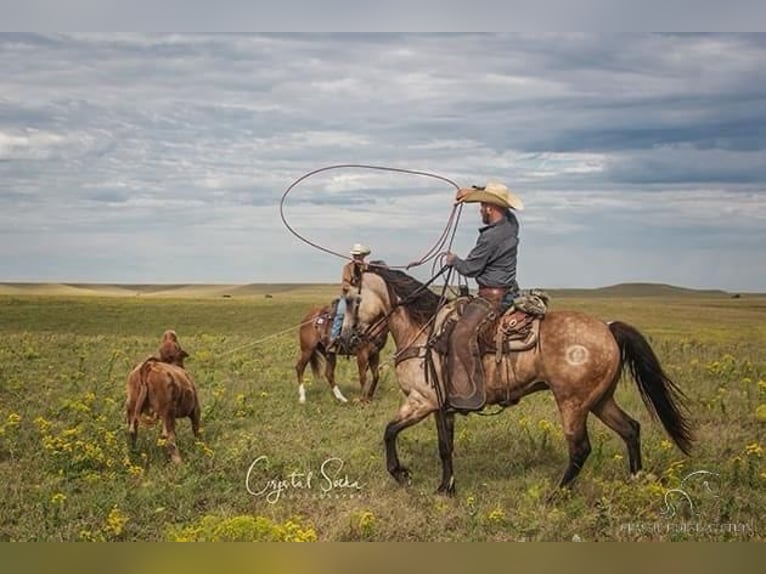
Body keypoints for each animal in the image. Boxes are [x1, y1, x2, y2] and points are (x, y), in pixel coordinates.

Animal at [344, 268, 700, 498]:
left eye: (349, 299)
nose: (346, 339)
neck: (422, 332)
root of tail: (608, 327)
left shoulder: (422, 401)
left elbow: (390, 431)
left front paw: (402, 474)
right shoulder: (439, 408)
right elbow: (444, 447)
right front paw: (446, 488)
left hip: (572, 403)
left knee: (580, 448)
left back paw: (556, 495)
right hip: (600, 400)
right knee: (631, 429)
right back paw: (635, 479)